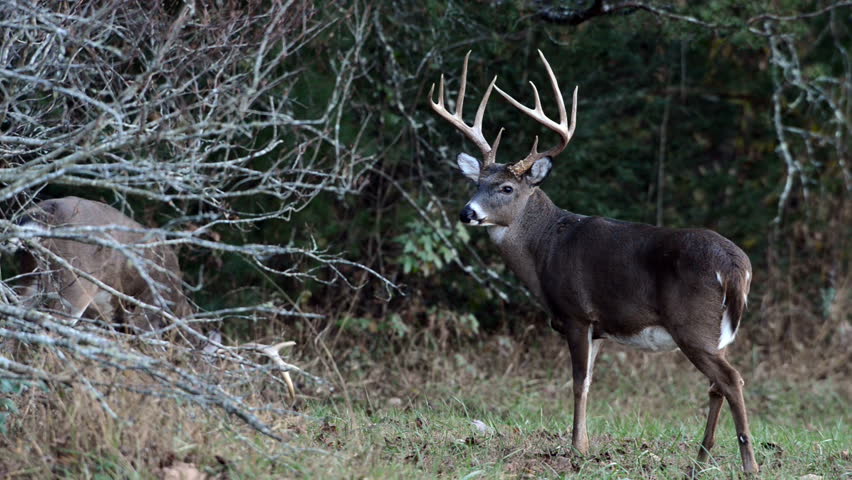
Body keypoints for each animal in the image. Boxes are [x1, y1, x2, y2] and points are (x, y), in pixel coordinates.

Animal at [428, 51, 759, 473]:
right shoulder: (599, 328)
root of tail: (736, 266)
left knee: (731, 380)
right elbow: (588, 382)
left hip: (693, 325)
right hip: (717, 331)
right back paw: (700, 459)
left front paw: (576, 449)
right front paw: (583, 444)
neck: (545, 248)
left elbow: (577, 382)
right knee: (718, 384)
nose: (467, 212)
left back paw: (748, 464)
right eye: (476, 184)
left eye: (506, 187)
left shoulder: (576, 314)